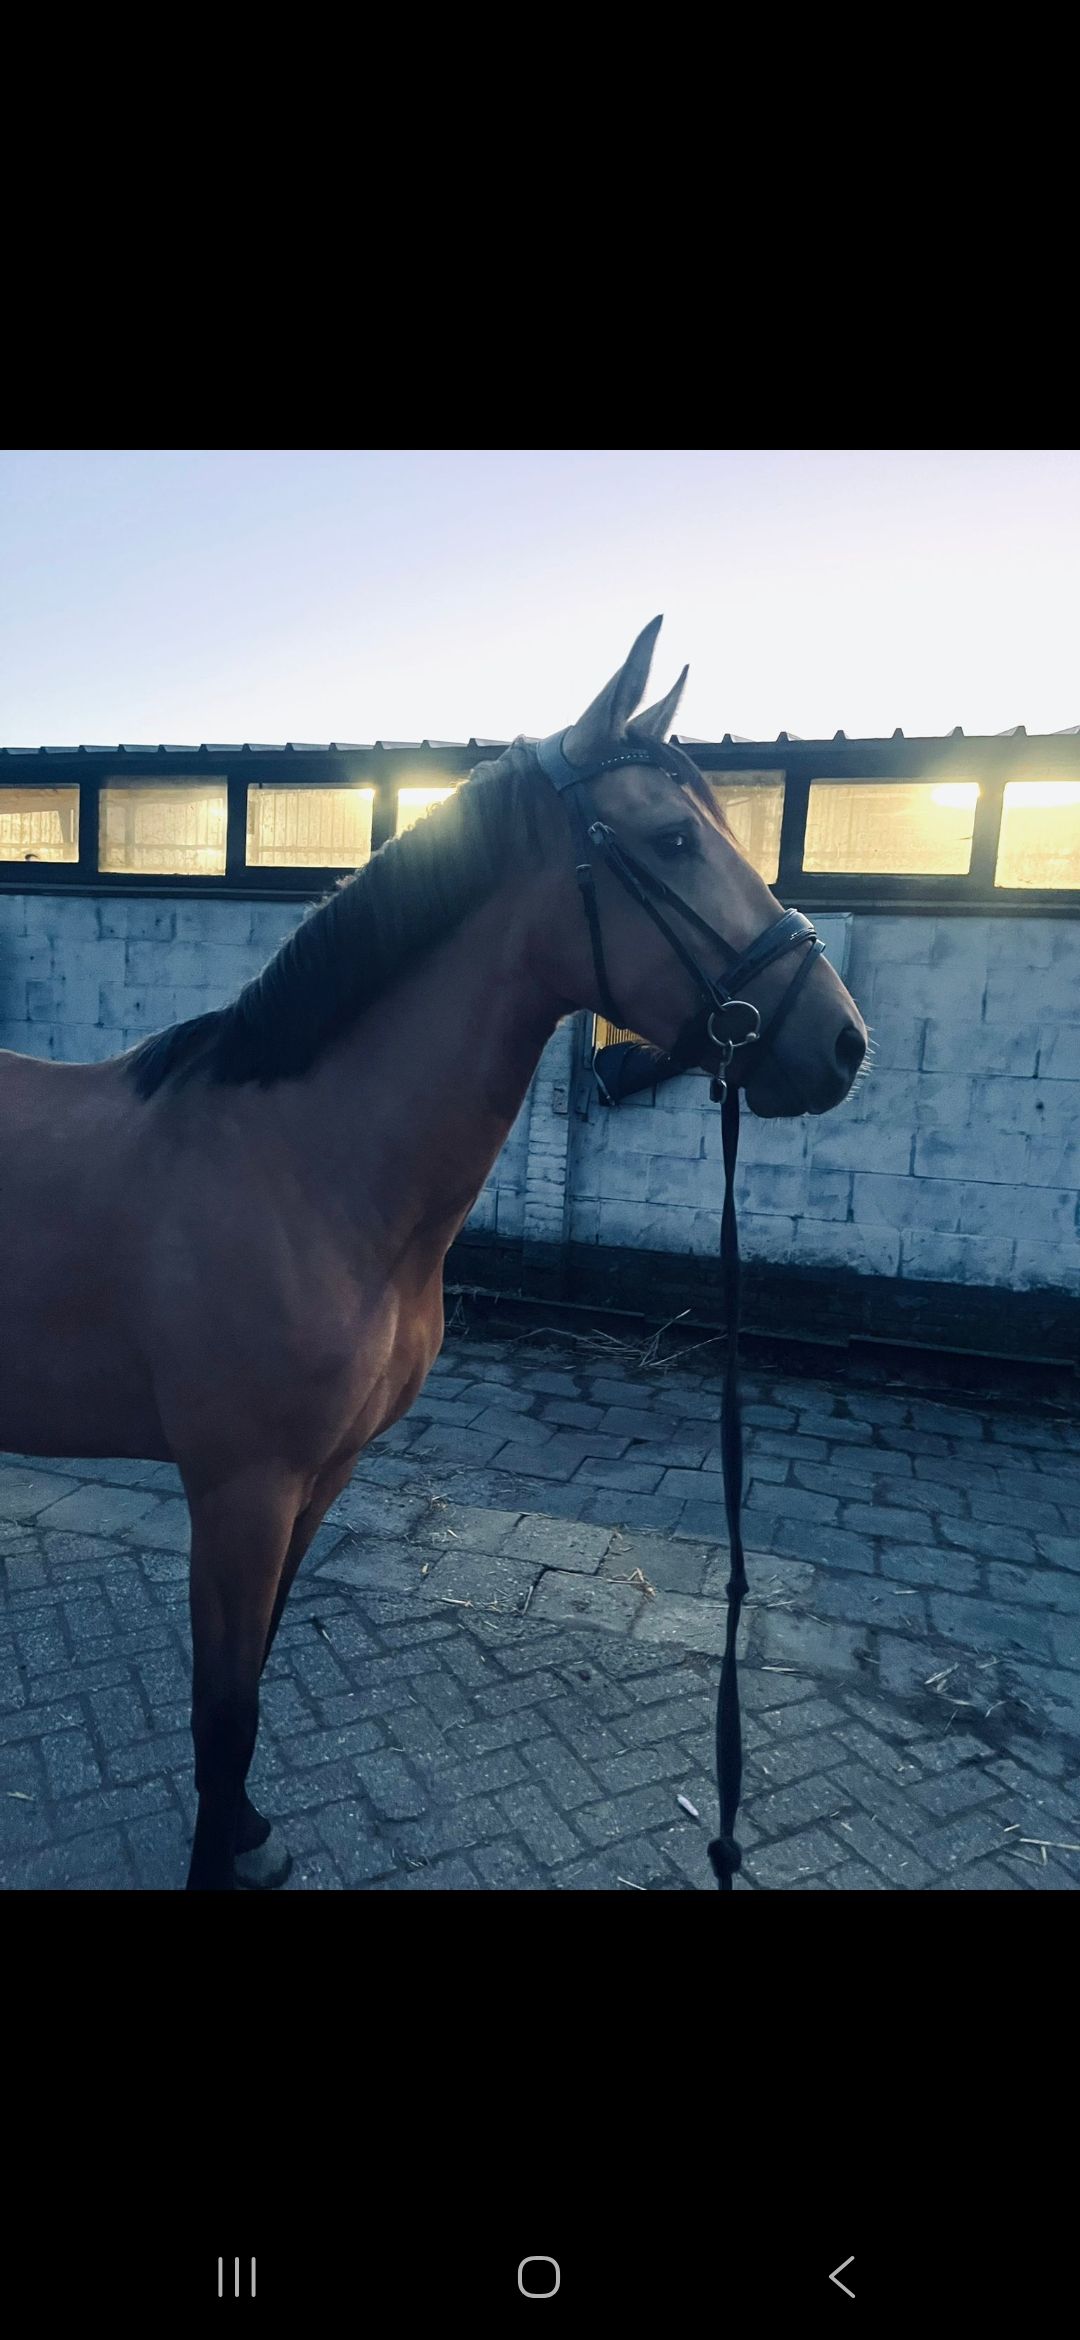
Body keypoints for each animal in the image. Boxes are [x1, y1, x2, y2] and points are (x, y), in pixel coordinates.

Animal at [0, 618, 867, 1888]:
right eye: (671, 839)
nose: (844, 1044)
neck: (305, 1169)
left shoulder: (317, 1480)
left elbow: (253, 1679)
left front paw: (243, 1833)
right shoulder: (241, 1491)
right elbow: (222, 1707)